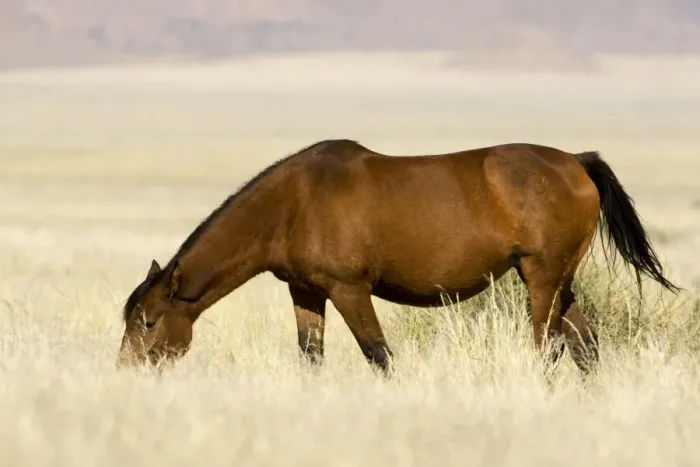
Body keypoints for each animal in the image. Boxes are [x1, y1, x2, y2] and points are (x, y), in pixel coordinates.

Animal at [116, 139, 678, 376]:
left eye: (147, 322)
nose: (125, 372)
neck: (293, 203)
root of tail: (577, 163)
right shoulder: (306, 291)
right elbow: (311, 357)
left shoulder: (349, 290)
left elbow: (379, 355)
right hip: (559, 282)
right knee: (585, 346)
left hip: (541, 280)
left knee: (547, 346)